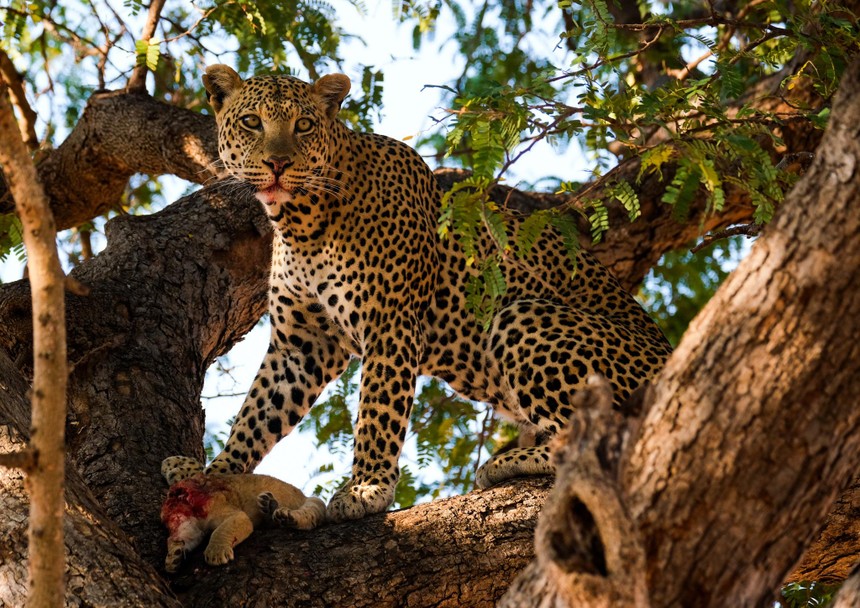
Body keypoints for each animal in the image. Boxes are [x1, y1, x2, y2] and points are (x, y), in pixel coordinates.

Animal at [160, 456, 324, 568]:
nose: (162, 515)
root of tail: (303, 495)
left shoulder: (231, 512)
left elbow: (222, 530)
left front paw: (216, 553)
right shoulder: (193, 527)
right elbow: (185, 538)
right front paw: (174, 556)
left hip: (312, 501)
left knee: (310, 516)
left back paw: (286, 516)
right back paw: (269, 505)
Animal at [197, 65, 672, 524]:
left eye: (304, 125)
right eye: (252, 122)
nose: (277, 163)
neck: (301, 223)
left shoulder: (390, 323)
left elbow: (377, 411)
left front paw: (366, 488)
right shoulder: (302, 344)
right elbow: (257, 414)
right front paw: (216, 477)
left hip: (524, 316)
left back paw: (508, 462)